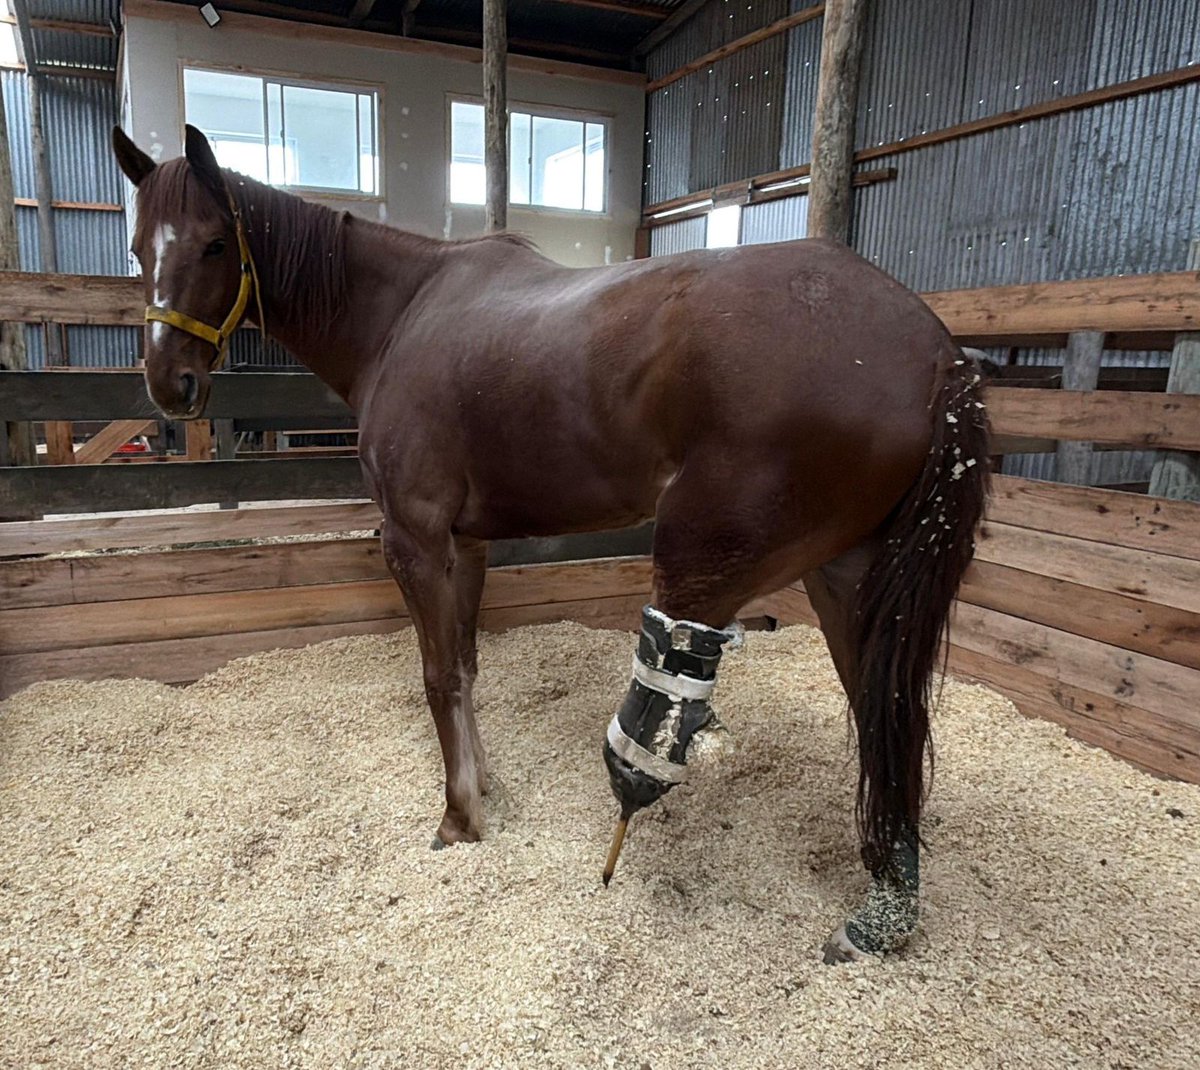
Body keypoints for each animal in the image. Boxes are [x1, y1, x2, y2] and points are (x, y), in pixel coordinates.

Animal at [113, 125, 989, 963]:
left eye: (215, 245)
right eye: (138, 249)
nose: (168, 384)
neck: (404, 314)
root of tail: (938, 355)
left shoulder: (415, 541)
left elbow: (438, 676)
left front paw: (460, 815)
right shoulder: (465, 548)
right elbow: (465, 668)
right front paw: (486, 783)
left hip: (702, 572)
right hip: (849, 579)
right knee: (888, 716)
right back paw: (883, 910)